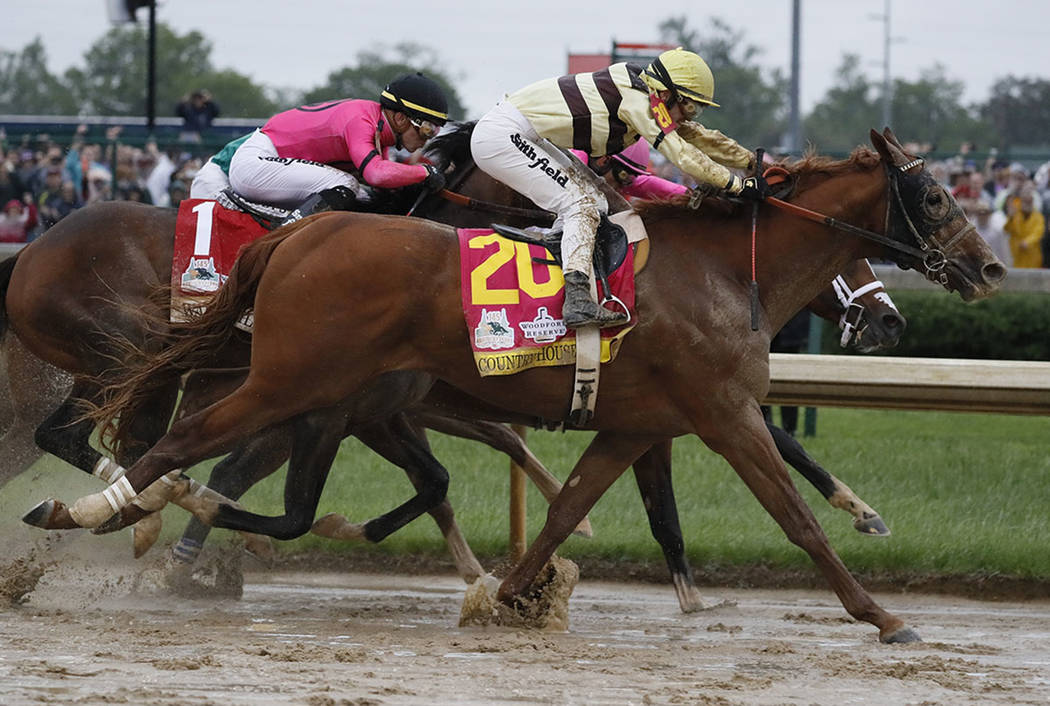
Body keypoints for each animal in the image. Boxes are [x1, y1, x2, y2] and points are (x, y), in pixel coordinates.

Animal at [59, 127, 999, 638]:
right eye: (934, 197)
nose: (989, 268)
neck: (726, 268)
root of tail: (297, 234)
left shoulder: (638, 422)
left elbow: (569, 510)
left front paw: (510, 594)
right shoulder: (723, 409)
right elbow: (795, 517)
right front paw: (882, 616)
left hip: (322, 393)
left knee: (229, 470)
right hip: (299, 383)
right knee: (189, 449)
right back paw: (92, 515)